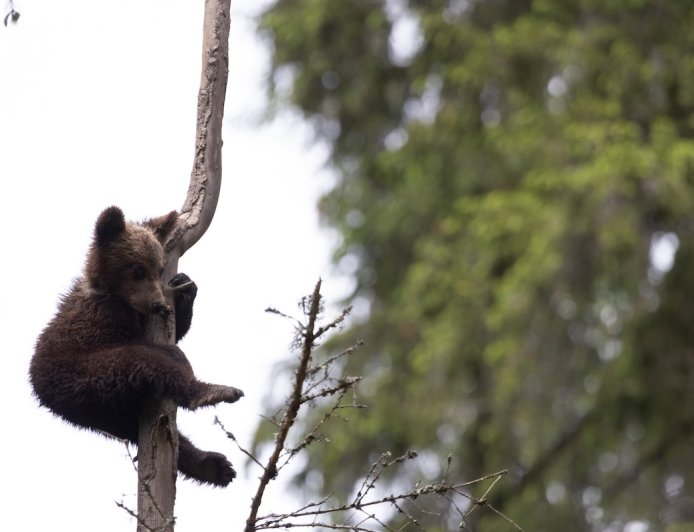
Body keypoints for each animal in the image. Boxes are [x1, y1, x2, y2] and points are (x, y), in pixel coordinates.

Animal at [29, 206, 243, 487]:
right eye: (138, 270)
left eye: (159, 269)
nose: (157, 303)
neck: (112, 292)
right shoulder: (100, 320)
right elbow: (142, 342)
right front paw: (173, 349)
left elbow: (177, 330)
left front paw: (185, 287)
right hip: (84, 376)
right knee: (143, 361)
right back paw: (211, 392)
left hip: (105, 411)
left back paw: (214, 466)